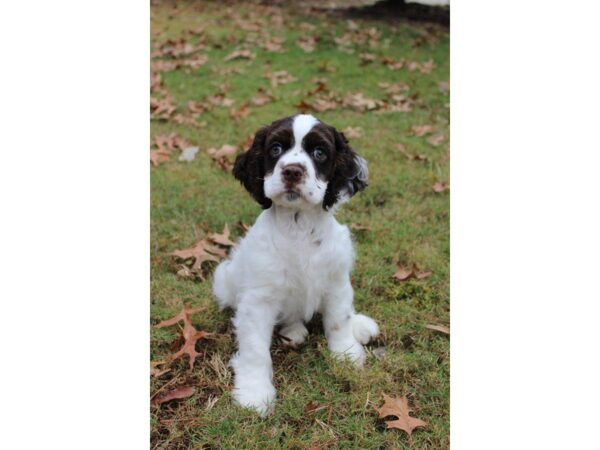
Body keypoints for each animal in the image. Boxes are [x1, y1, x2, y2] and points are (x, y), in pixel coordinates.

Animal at [213, 114, 378, 416]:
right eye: (276, 148)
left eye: (320, 152)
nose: (292, 171)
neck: (298, 225)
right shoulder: (258, 301)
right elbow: (255, 349)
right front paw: (254, 393)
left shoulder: (336, 281)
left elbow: (338, 320)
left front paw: (346, 354)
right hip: (224, 279)